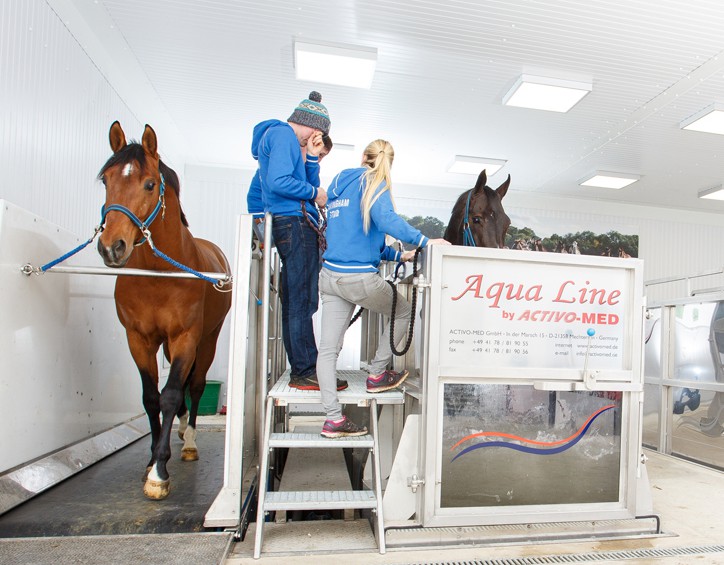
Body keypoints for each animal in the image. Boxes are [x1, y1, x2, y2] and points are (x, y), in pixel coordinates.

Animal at [96, 121, 232, 500]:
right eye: (105, 180)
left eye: (149, 183)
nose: (112, 247)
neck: (159, 274)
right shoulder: (138, 338)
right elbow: (150, 398)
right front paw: (151, 459)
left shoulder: (186, 335)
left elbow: (171, 395)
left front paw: (159, 471)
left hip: (208, 338)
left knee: (195, 384)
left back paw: (189, 441)